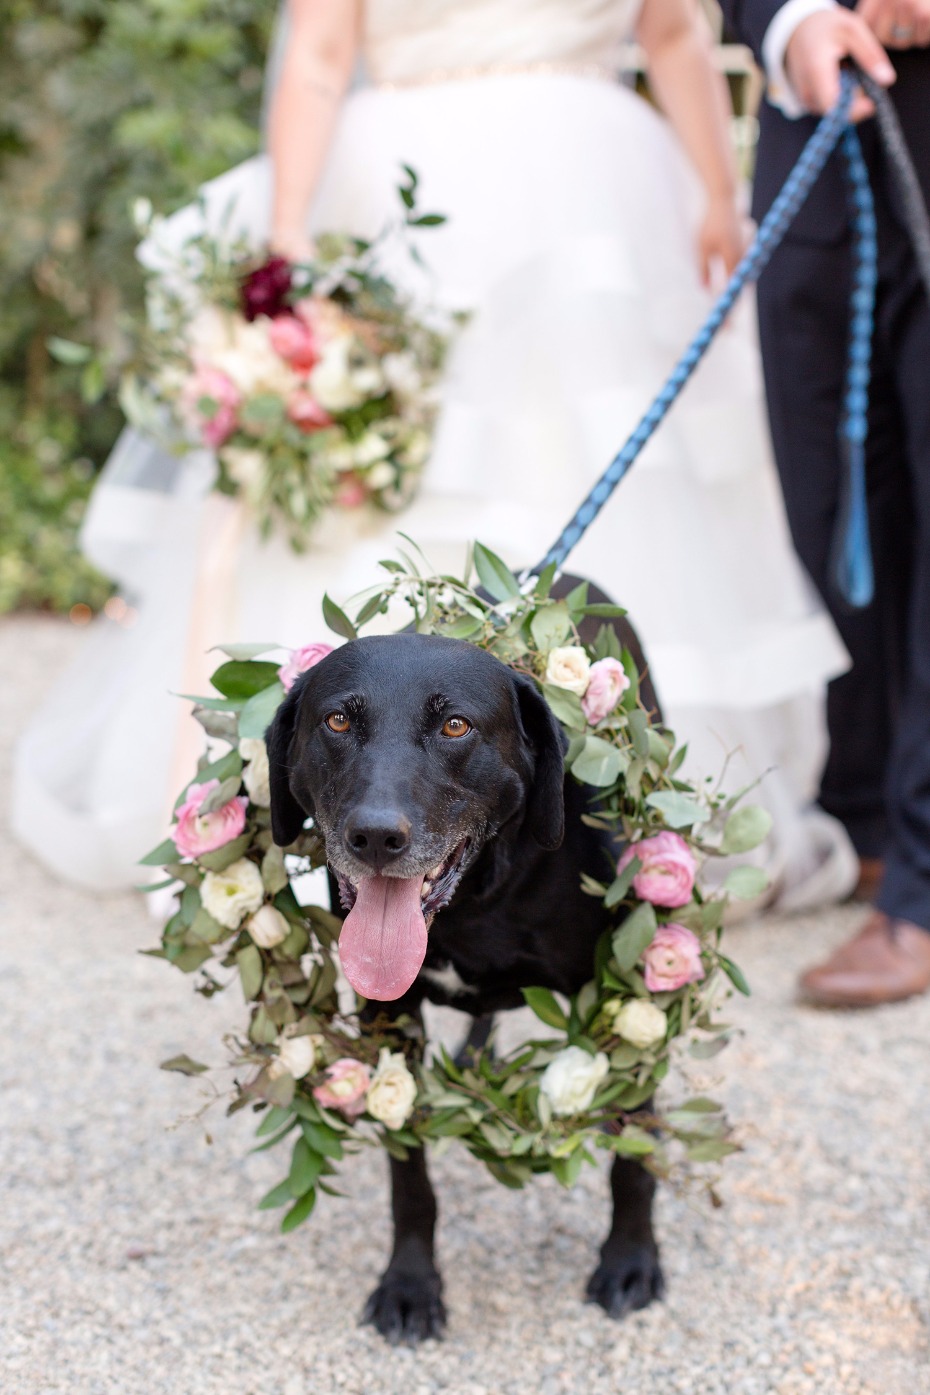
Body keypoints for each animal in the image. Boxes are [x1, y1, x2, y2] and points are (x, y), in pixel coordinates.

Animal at [264, 585, 666, 1339]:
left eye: (455, 725)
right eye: (337, 719)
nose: (375, 836)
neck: (478, 899)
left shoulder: (632, 987)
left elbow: (634, 1147)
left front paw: (630, 1258)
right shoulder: (388, 1017)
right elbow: (409, 1173)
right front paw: (410, 1283)